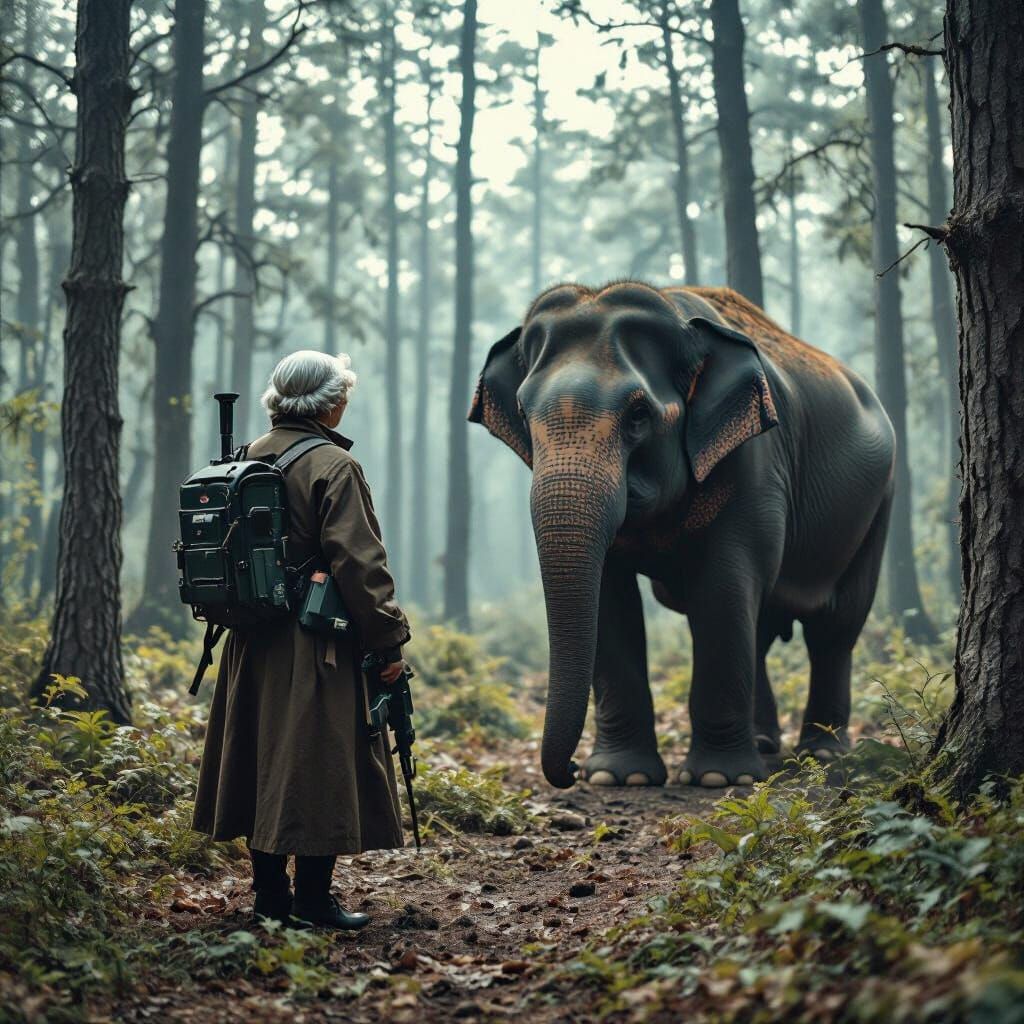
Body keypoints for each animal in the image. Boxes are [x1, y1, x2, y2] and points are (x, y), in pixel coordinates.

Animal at [469, 281, 894, 790]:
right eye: (522, 411)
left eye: (638, 415)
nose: (568, 771)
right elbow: (612, 600)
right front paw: (619, 777)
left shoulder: (754, 460)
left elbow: (723, 586)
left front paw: (716, 779)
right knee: (762, 625)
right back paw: (764, 744)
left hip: (880, 502)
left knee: (835, 627)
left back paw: (823, 752)